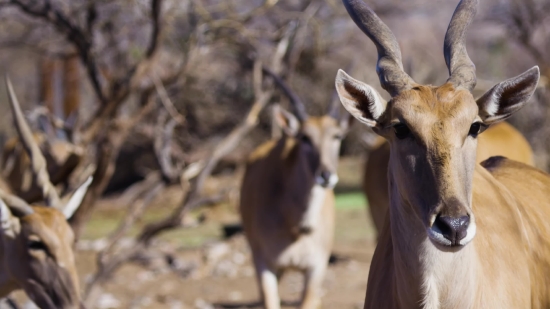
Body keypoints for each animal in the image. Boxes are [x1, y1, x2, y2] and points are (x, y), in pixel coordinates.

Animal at [242, 67, 354, 308]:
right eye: (304, 137)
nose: (325, 176)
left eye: (337, 136)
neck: (296, 226)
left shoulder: (316, 268)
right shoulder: (263, 264)